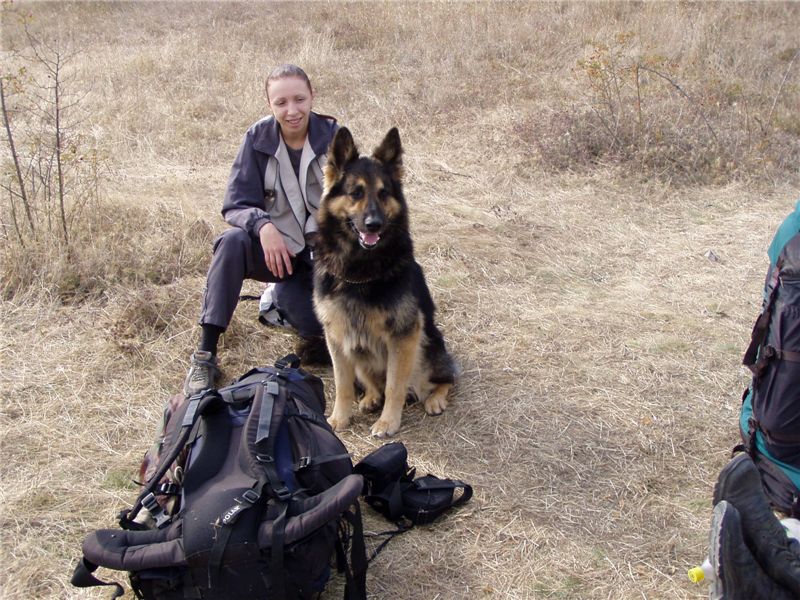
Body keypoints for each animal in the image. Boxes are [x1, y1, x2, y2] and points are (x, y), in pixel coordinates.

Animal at [313, 127, 456, 438]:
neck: (359, 270)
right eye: (355, 193)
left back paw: (435, 398)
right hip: (360, 351)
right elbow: (342, 383)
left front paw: (388, 422)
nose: (374, 224)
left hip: (428, 346)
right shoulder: (337, 335)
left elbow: (394, 386)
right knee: (371, 381)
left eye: (383, 193)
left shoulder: (403, 335)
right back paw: (370, 397)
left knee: (446, 377)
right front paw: (340, 417)